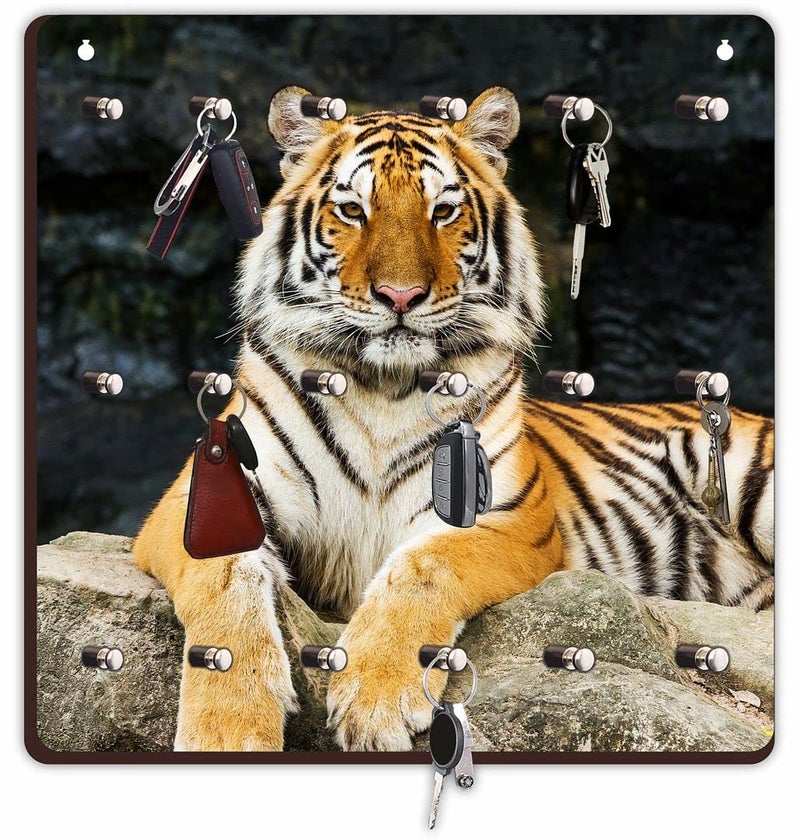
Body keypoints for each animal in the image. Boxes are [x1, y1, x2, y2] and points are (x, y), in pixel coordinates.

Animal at [133, 86, 774, 752]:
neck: (382, 387)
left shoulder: (507, 517)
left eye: (442, 211)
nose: (399, 296)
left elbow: (426, 567)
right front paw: (226, 728)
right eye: (353, 211)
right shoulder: (204, 493)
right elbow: (225, 584)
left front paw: (377, 696)